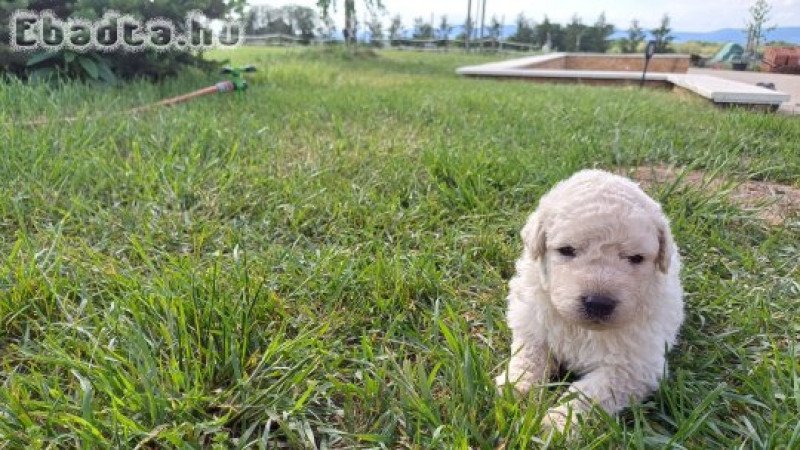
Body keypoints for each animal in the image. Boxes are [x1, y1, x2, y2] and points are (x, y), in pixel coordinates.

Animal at [496, 170, 684, 432]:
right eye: (566, 250)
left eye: (636, 258)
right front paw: (515, 389)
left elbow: (589, 394)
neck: (581, 329)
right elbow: (528, 356)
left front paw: (557, 423)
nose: (598, 303)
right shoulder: (531, 322)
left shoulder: (633, 367)